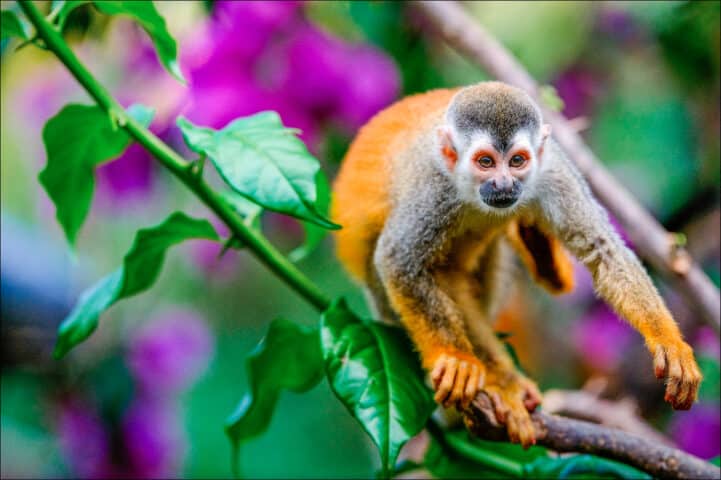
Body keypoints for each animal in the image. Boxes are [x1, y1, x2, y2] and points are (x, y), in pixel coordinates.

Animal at [330, 81, 696, 446]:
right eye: (486, 162)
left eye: (517, 161)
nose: (504, 183)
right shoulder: (433, 188)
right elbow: (398, 259)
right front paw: (459, 360)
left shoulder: (553, 171)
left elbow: (603, 250)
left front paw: (668, 341)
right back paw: (499, 382)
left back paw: (541, 257)